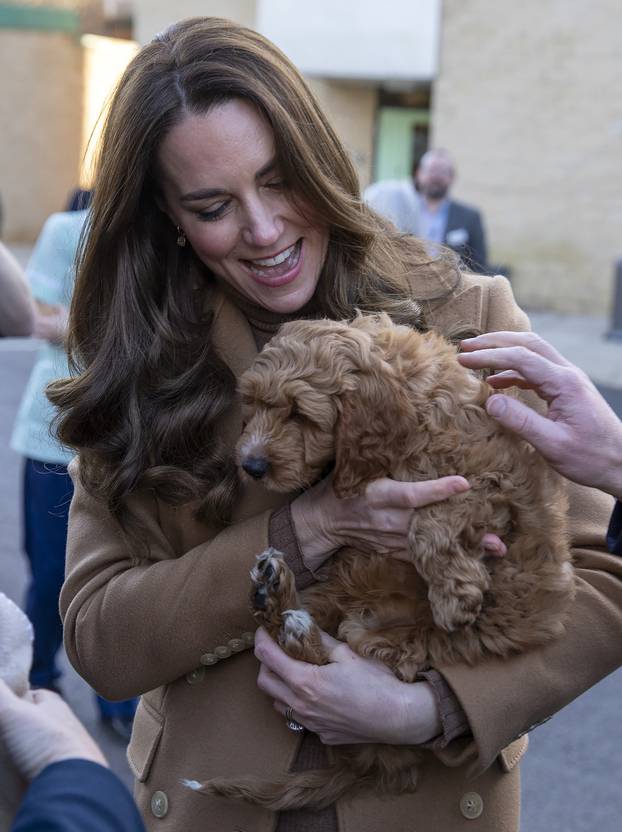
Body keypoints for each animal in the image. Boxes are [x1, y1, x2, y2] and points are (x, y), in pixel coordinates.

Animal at [197, 314, 576, 812]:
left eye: (299, 414)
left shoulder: (491, 484)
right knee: (288, 631)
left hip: (392, 642)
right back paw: (273, 594)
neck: (414, 405)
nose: (252, 466)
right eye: (254, 404)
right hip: (341, 590)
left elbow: (431, 519)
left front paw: (454, 593)